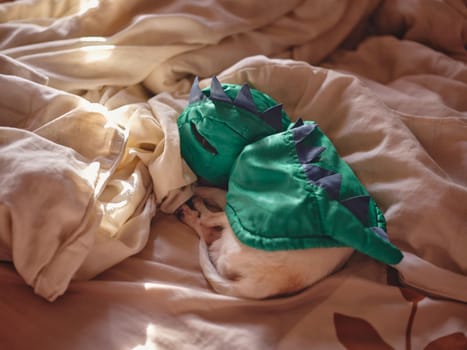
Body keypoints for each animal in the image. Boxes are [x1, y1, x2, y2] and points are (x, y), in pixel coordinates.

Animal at [177, 187, 352, 300]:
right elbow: (218, 193)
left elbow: (217, 195)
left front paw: (194, 190)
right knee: (207, 234)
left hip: (232, 231)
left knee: (208, 220)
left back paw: (193, 209)